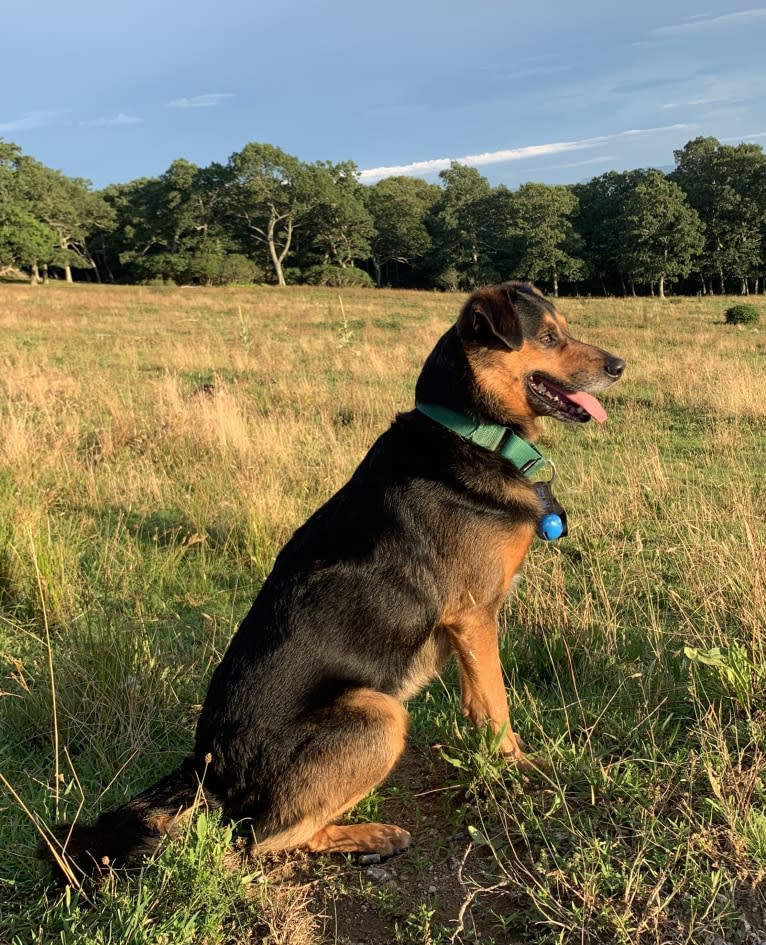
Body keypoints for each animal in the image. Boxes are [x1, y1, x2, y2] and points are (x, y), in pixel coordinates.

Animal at [42, 280, 624, 876]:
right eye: (549, 338)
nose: (620, 366)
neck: (471, 430)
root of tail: (209, 769)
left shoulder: (470, 629)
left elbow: (478, 703)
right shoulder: (474, 614)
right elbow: (498, 704)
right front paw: (519, 765)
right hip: (378, 713)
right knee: (266, 838)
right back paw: (371, 834)